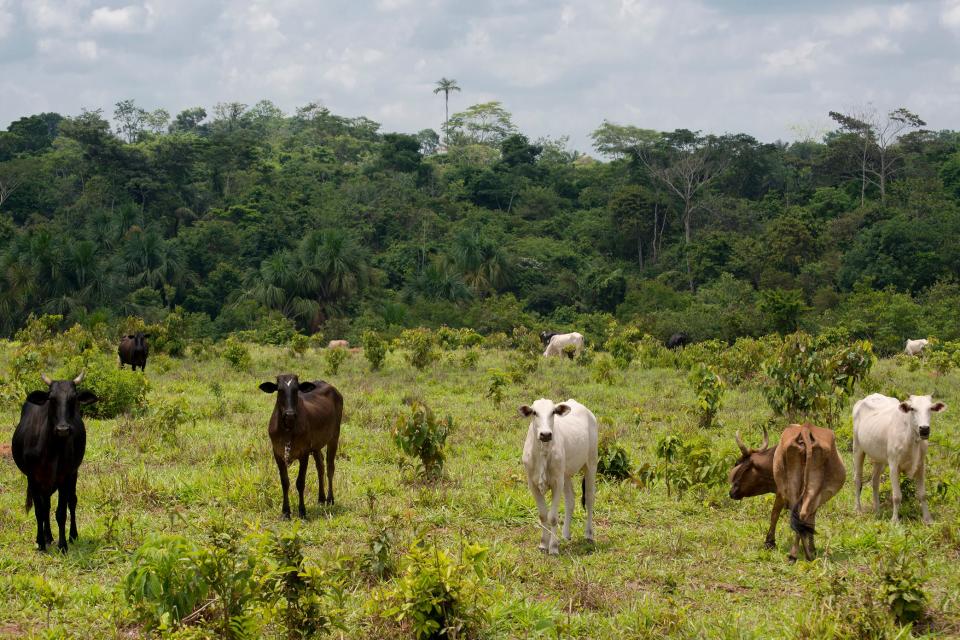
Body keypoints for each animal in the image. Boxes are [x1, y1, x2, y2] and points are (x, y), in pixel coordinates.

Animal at [11, 372, 97, 552]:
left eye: (73, 398)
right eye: (52, 398)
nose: (63, 429)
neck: (51, 448)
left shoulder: (65, 476)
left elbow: (61, 512)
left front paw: (62, 545)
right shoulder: (33, 478)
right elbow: (40, 511)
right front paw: (41, 543)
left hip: (73, 474)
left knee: (72, 501)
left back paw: (72, 535)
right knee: (46, 506)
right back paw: (48, 536)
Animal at [256, 372, 344, 516]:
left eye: (296, 390)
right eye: (280, 390)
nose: (290, 414)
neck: (288, 429)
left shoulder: (304, 453)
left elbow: (300, 482)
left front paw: (302, 511)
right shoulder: (277, 453)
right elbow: (285, 482)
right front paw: (285, 512)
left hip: (334, 437)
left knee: (330, 467)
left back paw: (330, 499)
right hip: (316, 446)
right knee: (320, 467)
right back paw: (321, 498)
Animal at [520, 398, 596, 552]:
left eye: (553, 412)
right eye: (534, 412)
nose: (545, 434)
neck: (543, 453)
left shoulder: (557, 483)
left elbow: (553, 517)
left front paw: (553, 547)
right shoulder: (533, 484)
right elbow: (543, 515)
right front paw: (543, 544)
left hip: (591, 464)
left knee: (590, 498)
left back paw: (589, 534)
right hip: (565, 475)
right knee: (570, 500)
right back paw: (566, 534)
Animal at [772, 422, 848, 564]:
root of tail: (806, 428)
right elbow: (811, 521)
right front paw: (812, 548)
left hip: (792, 484)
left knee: (797, 515)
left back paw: (794, 555)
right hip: (814, 487)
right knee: (803, 514)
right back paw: (808, 555)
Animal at [856, 390, 944, 524]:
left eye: (930, 408)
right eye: (912, 408)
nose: (924, 429)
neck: (912, 439)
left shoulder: (921, 465)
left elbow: (922, 495)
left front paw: (928, 519)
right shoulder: (893, 465)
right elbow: (897, 496)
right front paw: (894, 520)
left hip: (880, 459)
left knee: (875, 481)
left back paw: (877, 511)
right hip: (857, 448)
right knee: (857, 479)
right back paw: (858, 510)